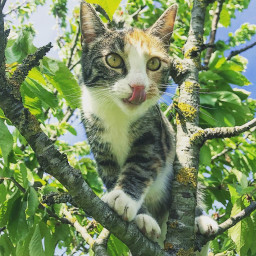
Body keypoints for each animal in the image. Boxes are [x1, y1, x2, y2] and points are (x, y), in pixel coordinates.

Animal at [79, 1, 217, 251]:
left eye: (154, 63)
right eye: (113, 60)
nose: (138, 87)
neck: (118, 115)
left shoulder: (155, 132)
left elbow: (142, 163)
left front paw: (124, 197)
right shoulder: (99, 143)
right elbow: (111, 174)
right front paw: (142, 217)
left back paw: (201, 220)